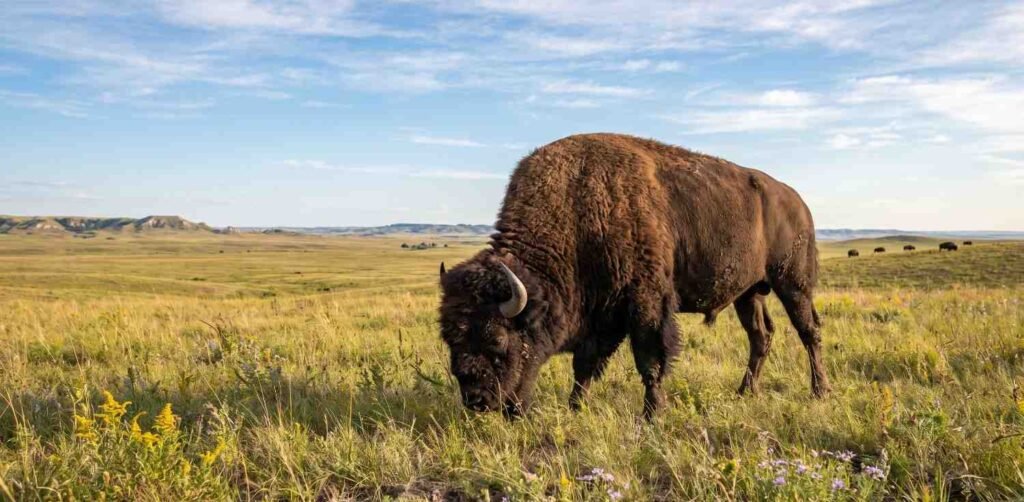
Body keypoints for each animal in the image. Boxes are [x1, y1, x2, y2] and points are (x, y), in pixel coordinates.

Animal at [439, 133, 829, 418]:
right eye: (450, 339)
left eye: (497, 341)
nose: (478, 402)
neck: (578, 209)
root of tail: (797, 201)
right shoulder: (600, 315)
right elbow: (586, 365)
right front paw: (576, 408)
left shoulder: (646, 304)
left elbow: (650, 361)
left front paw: (652, 415)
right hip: (749, 294)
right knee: (761, 336)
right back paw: (744, 392)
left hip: (793, 284)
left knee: (808, 331)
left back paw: (819, 392)